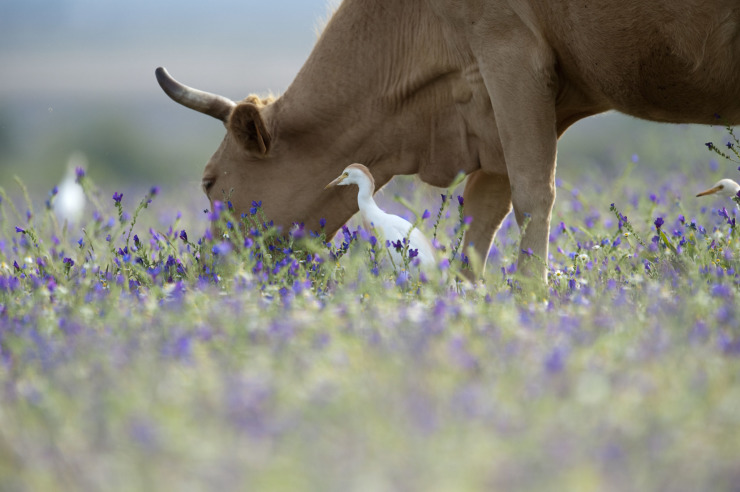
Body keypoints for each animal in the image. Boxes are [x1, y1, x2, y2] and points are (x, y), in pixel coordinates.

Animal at [156, 0, 740, 282]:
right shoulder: (499, 109)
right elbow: (482, 215)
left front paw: (531, 298)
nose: (205, 272)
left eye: (209, 182)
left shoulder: (512, 59)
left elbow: (534, 196)